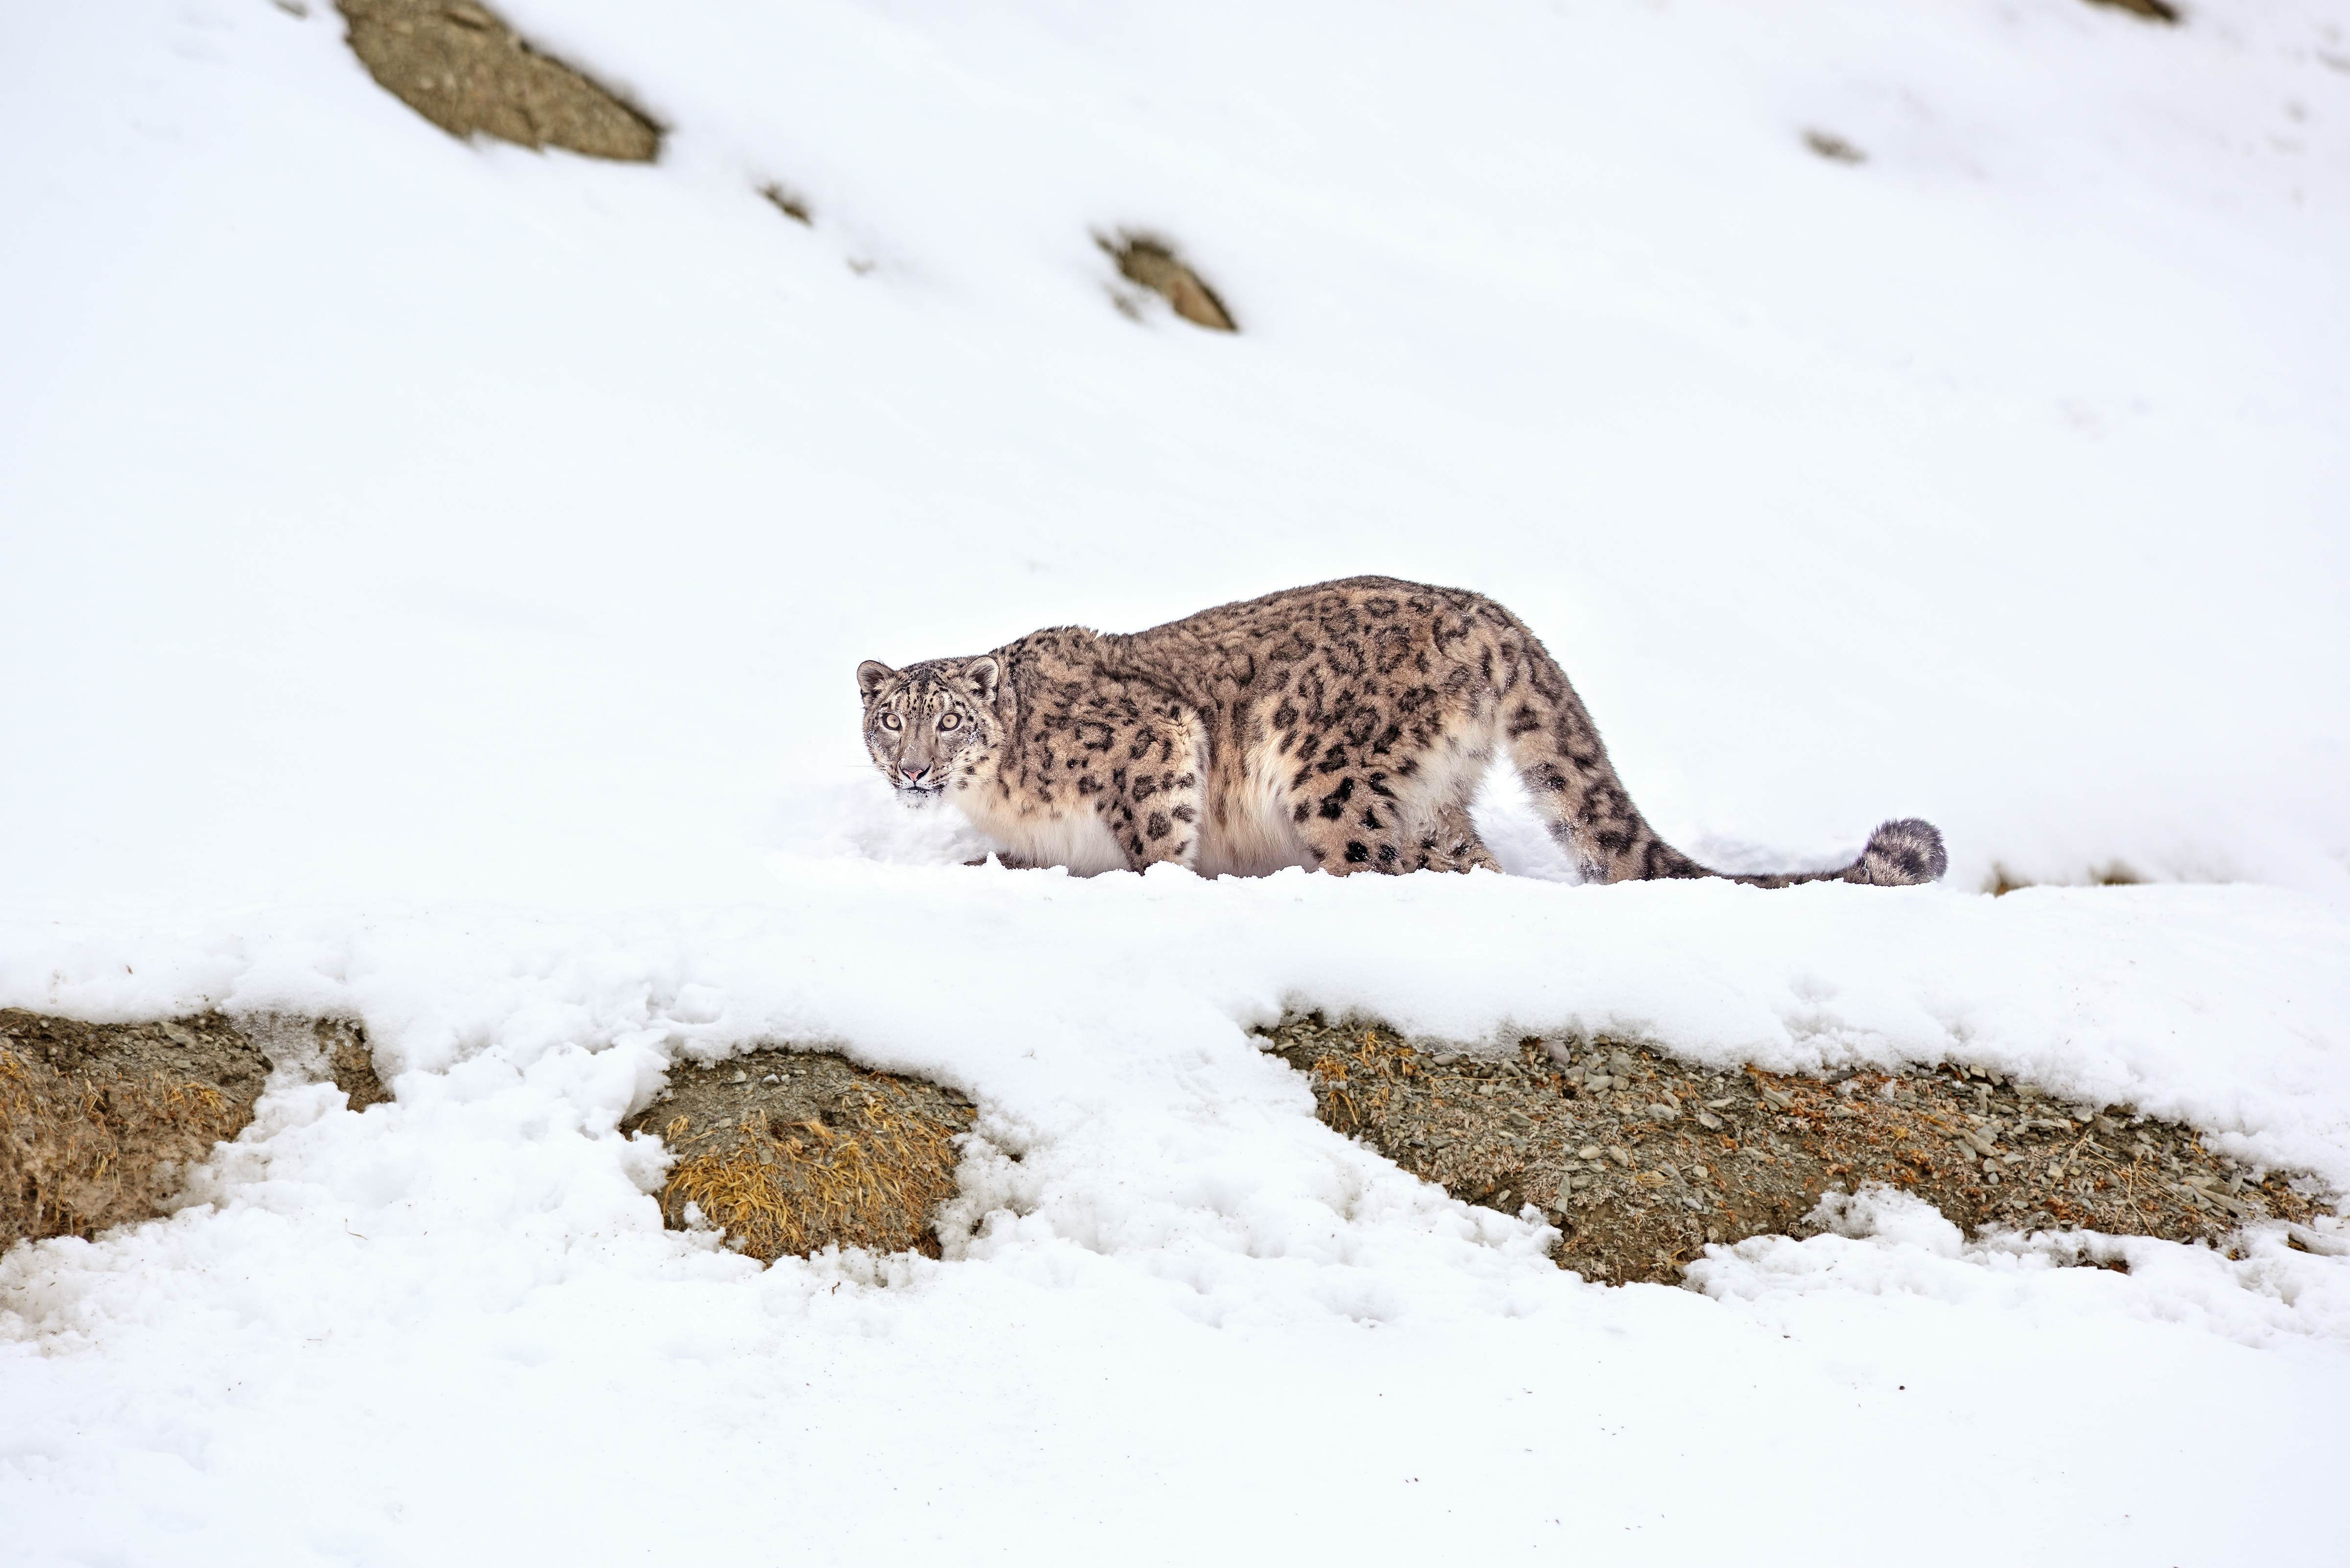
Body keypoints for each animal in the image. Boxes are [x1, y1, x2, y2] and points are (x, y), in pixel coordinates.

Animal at [855, 576, 1955, 889]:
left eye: (950, 719)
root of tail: (1491, 615)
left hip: (1329, 775)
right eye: (890, 721)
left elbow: (1156, 841)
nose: (911, 772)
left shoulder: (1155, 745)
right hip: (1432, 796)